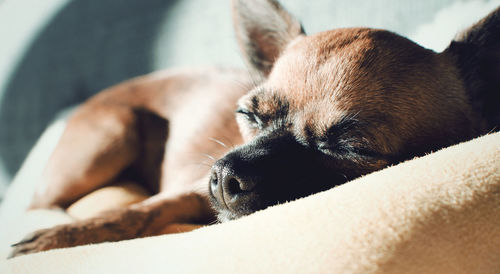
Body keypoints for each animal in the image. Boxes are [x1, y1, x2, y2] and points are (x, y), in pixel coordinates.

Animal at [8, 0, 500, 256]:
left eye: (351, 148)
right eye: (248, 116)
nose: (225, 176)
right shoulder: (190, 190)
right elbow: (139, 211)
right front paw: (60, 240)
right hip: (113, 132)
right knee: (43, 202)